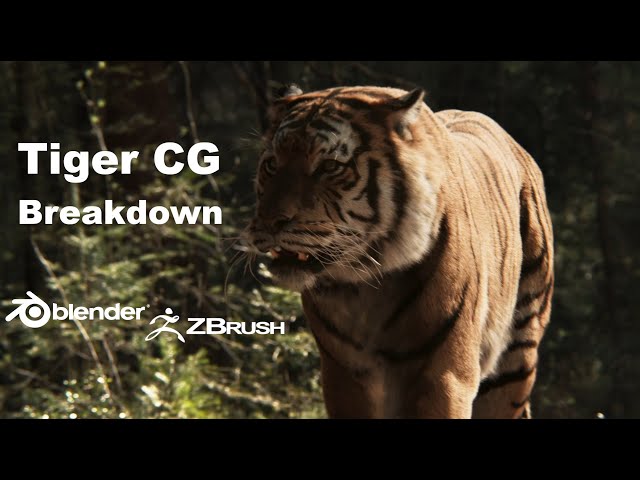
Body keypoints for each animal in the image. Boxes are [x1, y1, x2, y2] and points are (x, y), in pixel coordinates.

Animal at [245, 85, 554, 419]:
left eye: (329, 166)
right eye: (272, 163)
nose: (270, 221)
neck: (365, 286)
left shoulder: (443, 374)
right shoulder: (344, 374)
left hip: (516, 356)